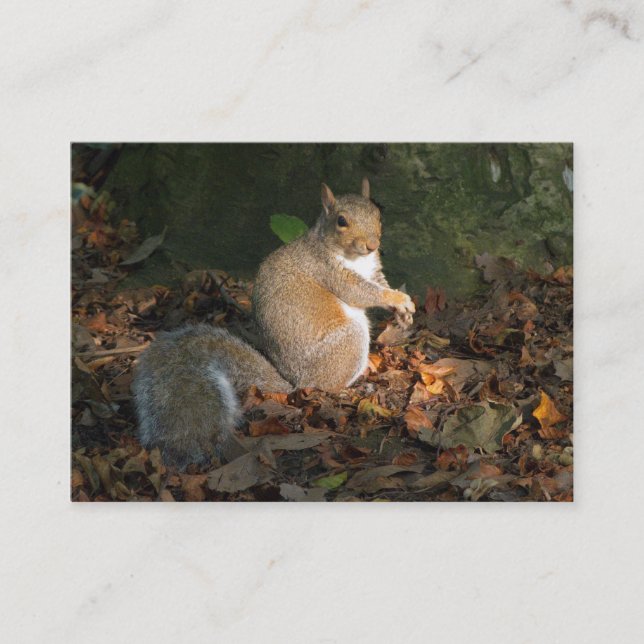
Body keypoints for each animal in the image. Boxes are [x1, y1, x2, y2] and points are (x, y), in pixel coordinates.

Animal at [132, 178, 415, 469]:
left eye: (378, 214)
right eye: (341, 221)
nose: (372, 245)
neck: (355, 258)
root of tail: (296, 384)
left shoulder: (373, 270)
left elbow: (378, 283)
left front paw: (404, 311)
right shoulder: (328, 271)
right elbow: (360, 292)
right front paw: (396, 298)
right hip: (348, 341)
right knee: (329, 385)